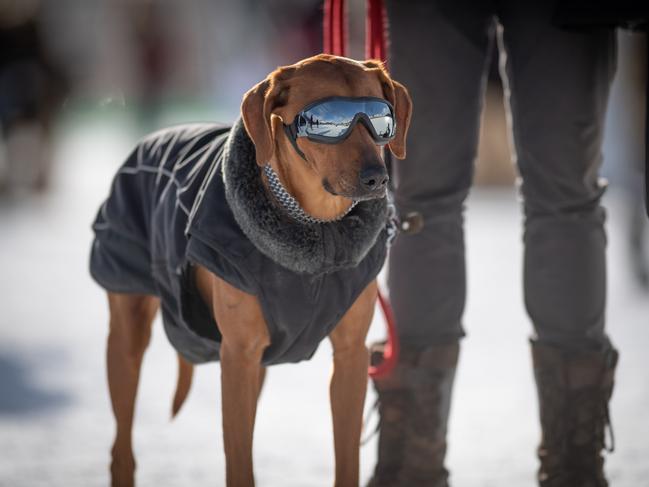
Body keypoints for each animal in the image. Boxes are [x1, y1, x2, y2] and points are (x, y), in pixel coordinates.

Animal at [104, 54, 412, 487]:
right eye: (326, 123)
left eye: (383, 119)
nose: (376, 178)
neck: (317, 231)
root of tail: (155, 136)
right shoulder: (239, 355)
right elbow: (239, 462)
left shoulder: (351, 356)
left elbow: (346, 459)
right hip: (127, 331)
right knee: (121, 447)